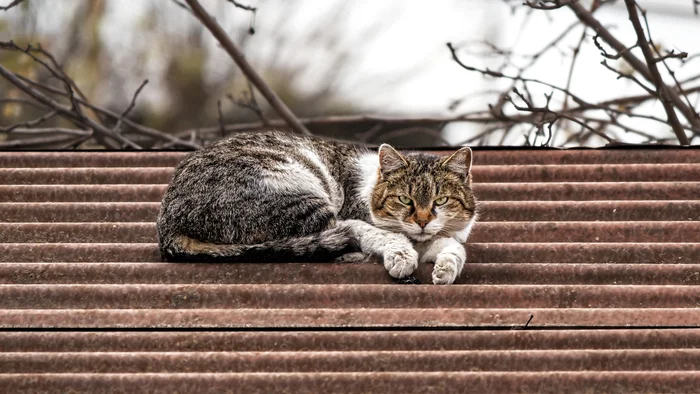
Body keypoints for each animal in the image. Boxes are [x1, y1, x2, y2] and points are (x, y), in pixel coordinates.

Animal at [157, 131, 478, 284]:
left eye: (440, 201)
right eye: (405, 200)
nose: (422, 221)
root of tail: (168, 225)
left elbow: (452, 246)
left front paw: (446, 268)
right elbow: (388, 234)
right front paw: (401, 255)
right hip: (293, 191)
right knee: (334, 232)